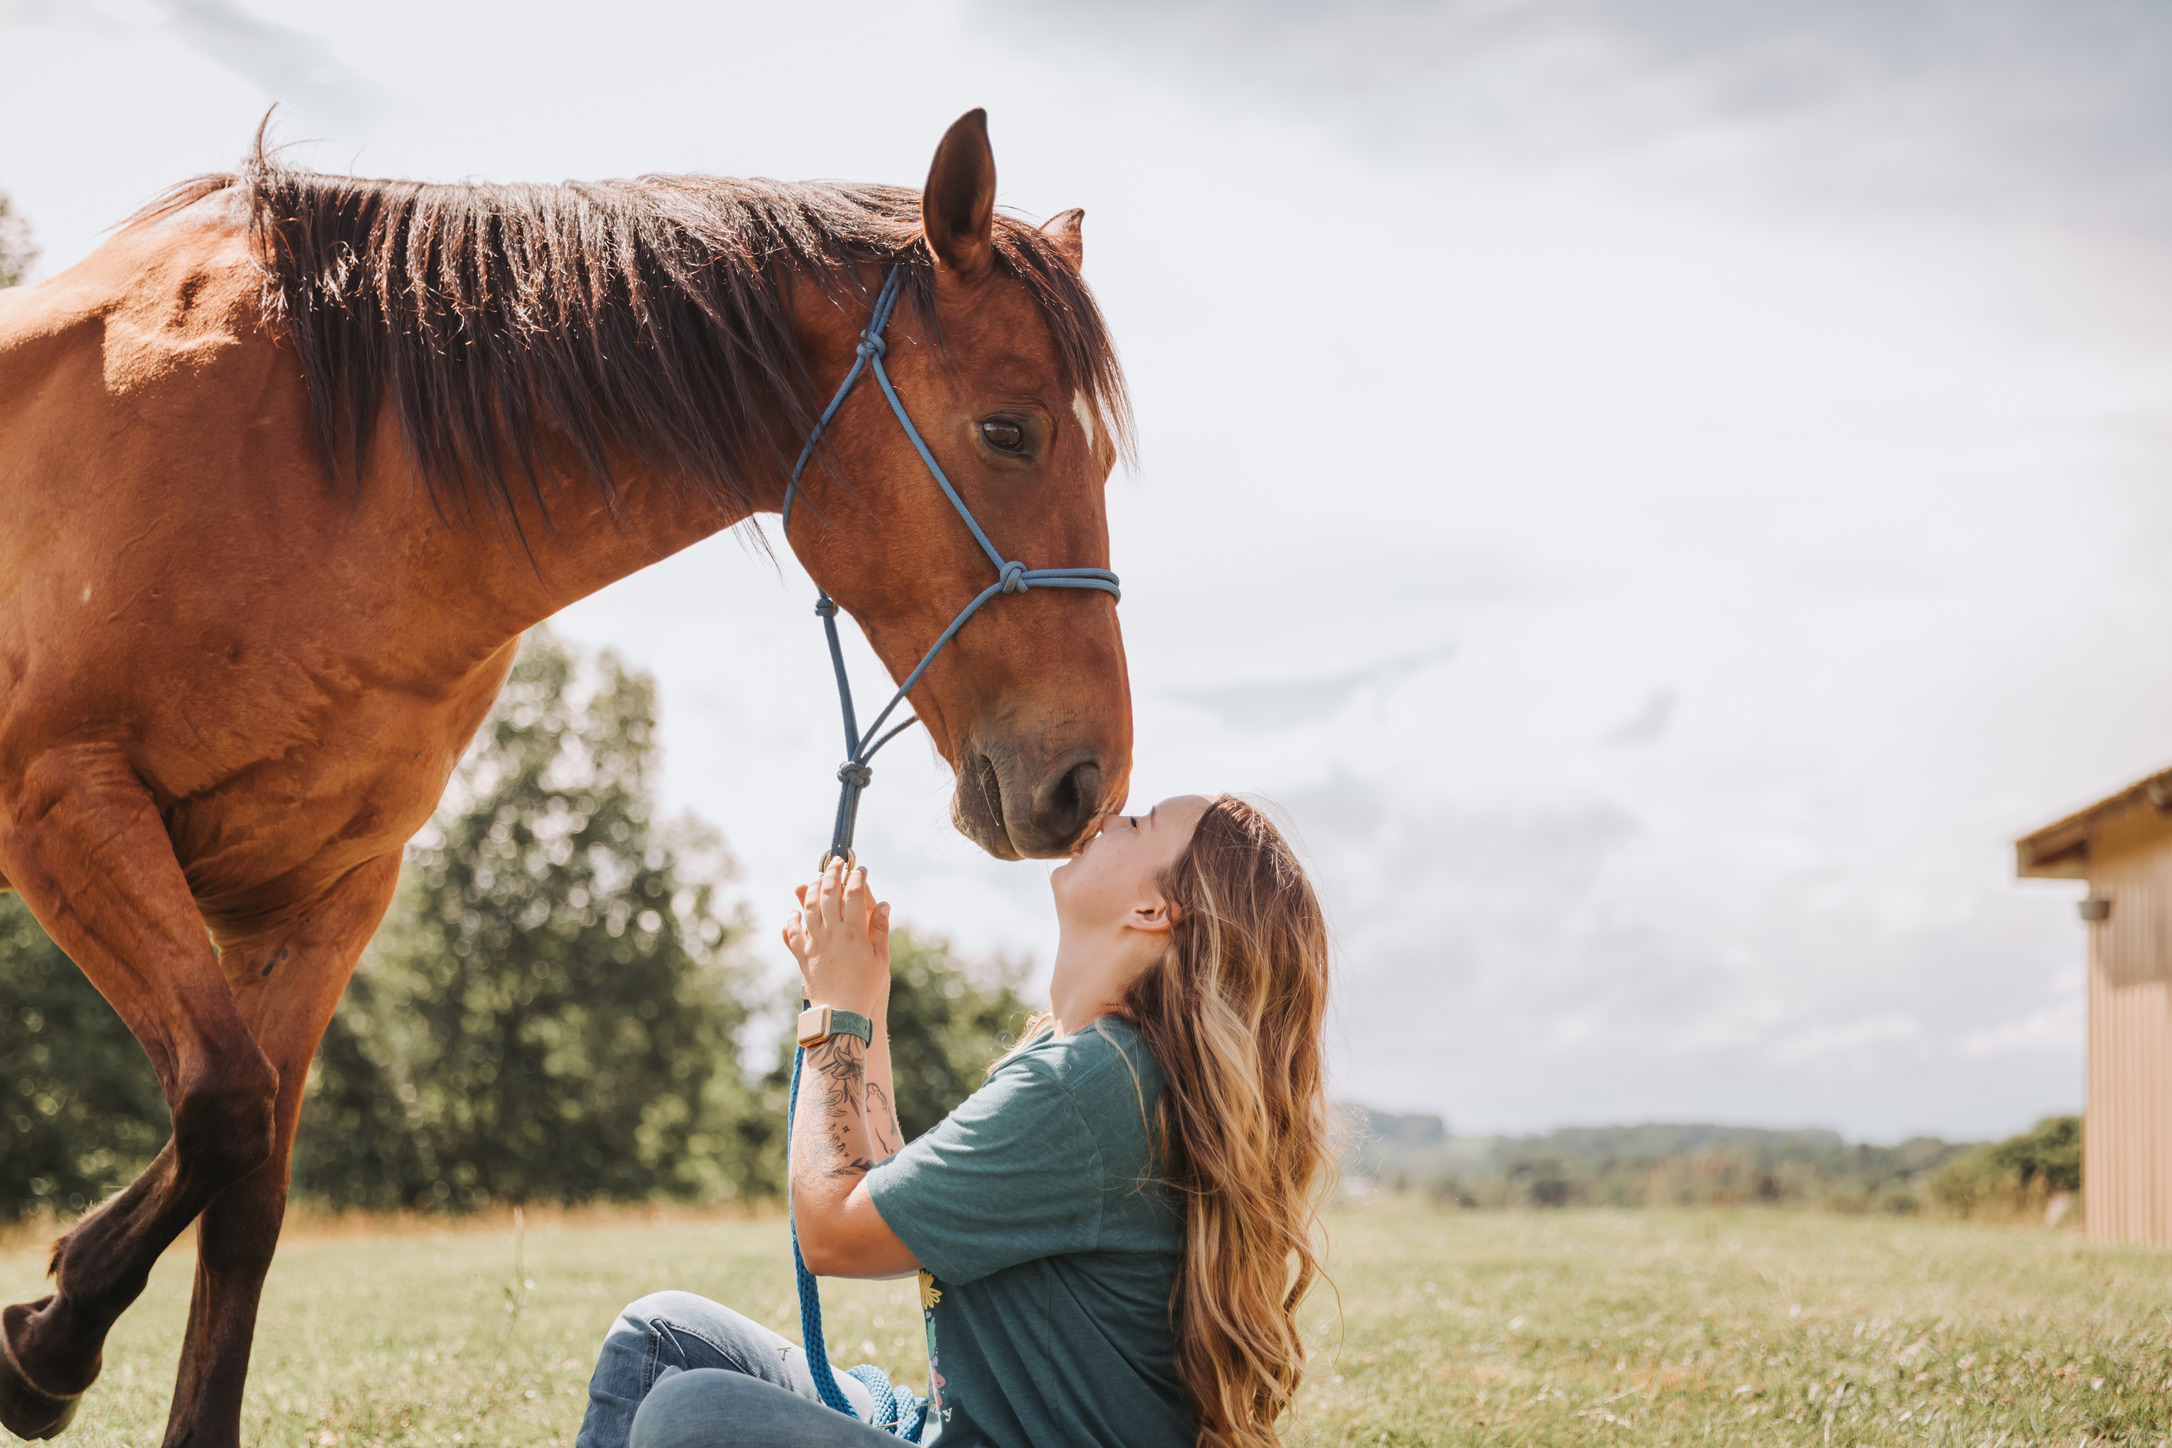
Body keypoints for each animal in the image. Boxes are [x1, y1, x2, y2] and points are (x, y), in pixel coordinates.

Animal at [0, 108, 1133, 1447]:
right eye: (1009, 430)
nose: (1089, 778)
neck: (309, 461)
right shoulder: (66, 804)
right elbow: (224, 1108)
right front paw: (48, 1342)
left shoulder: (325, 894)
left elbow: (250, 1182)